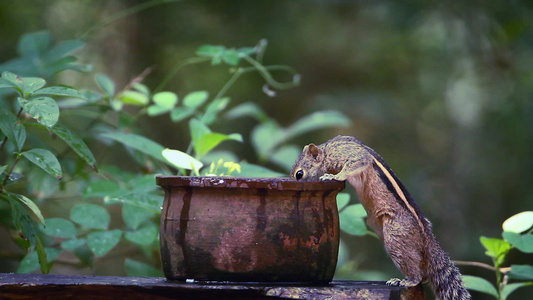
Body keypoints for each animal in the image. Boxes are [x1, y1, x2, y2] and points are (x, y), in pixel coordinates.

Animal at [290, 136, 470, 300]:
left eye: (299, 174)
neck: (327, 151)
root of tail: (427, 237)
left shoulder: (348, 154)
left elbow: (356, 163)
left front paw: (333, 177)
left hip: (395, 239)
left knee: (416, 274)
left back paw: (406, 281)